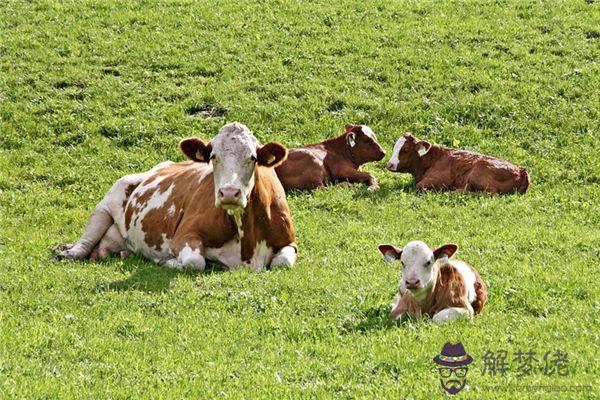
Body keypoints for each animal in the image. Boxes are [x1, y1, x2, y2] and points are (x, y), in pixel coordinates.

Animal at [55, 122, 298, 272]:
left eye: (253, 157)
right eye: (213, 156)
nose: (229, 193)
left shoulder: (290, 242)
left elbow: (282, 262)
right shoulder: (184, 234)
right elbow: (194, 262)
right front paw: (169, 262)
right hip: (111, 197)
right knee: (86, 241)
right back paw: (67, 252)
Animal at [384, 134, 528, 195]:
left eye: (405, 150)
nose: (389, 165)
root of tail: (521, 170)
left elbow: (419, 186)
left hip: (477, 173)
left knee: (491, 194)